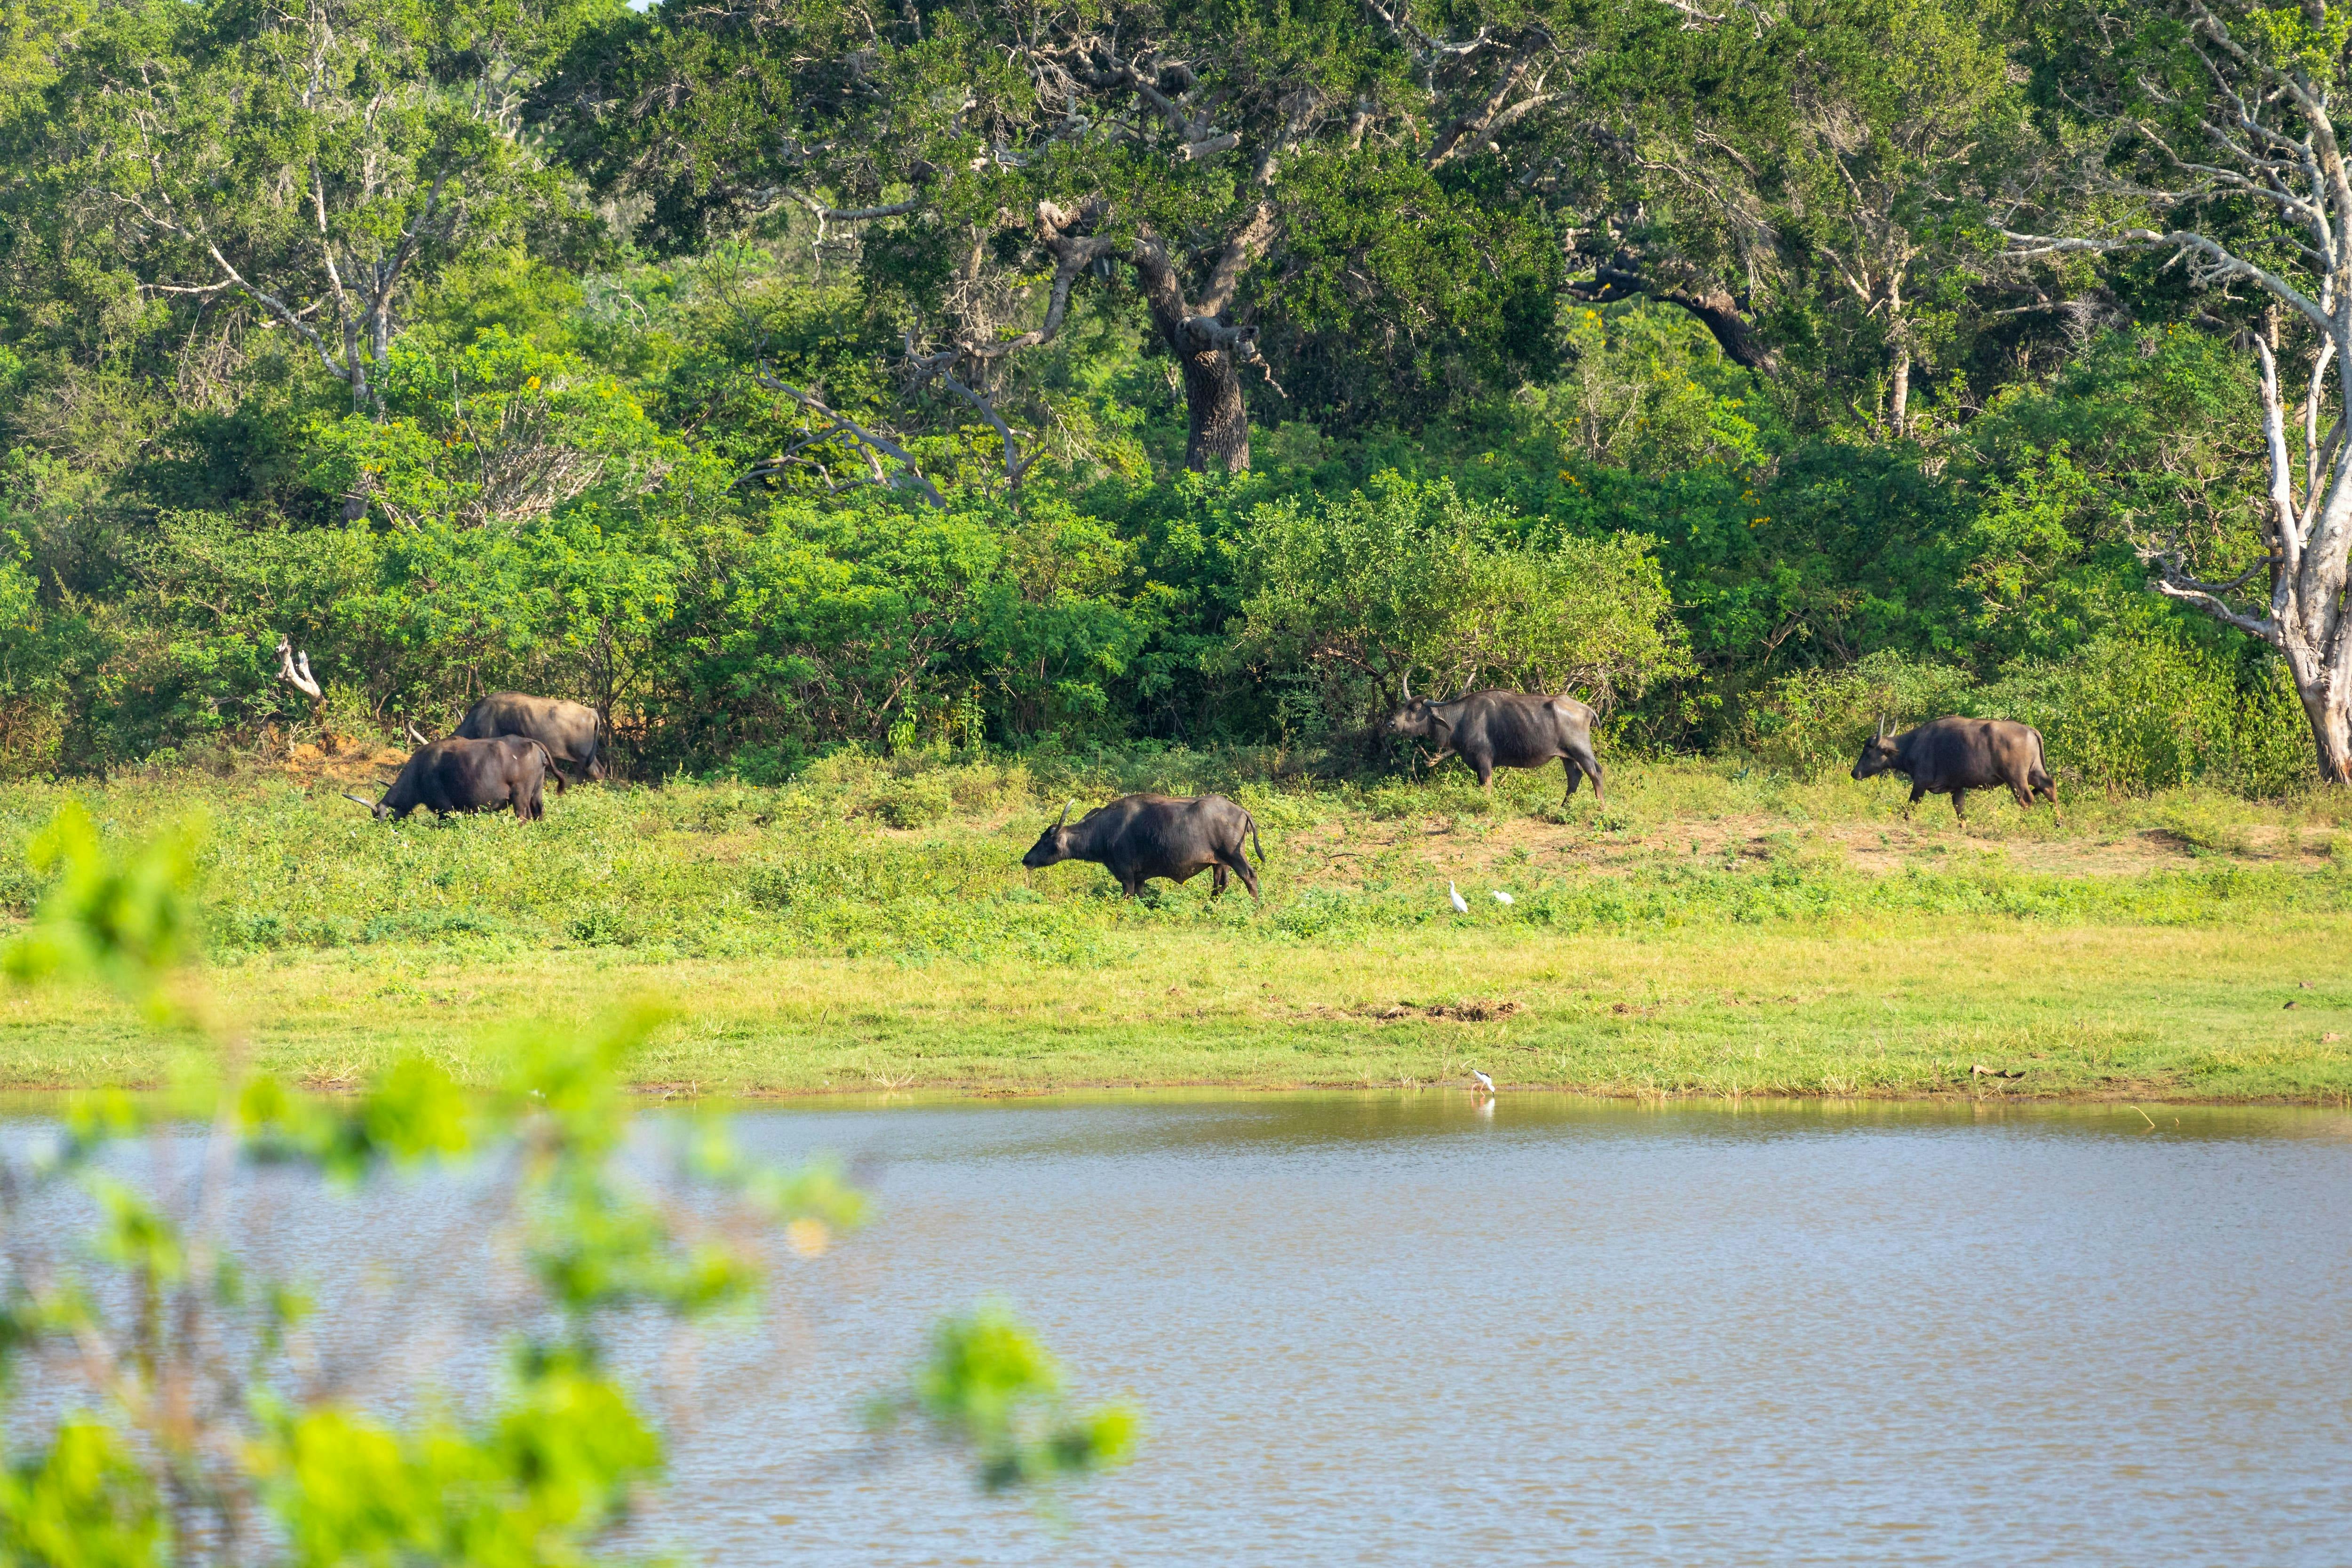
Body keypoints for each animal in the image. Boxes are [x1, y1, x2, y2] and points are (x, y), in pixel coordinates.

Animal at [343, 738, 564, 827]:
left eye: (379, 817)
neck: (419, 772)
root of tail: (530, 742)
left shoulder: (445, 808)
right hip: (536, 793)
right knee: (538, 813)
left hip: (521, 796)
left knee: (524, 817)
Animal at [1016, 799, 1261, 907]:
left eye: (1045, 840)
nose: (1026, 860)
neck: (1105, 831)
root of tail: (1242, 811)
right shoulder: (1141, 878)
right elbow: (1142, 898)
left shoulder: (1127, 876)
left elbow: (1128, 899)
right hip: (1220, 863)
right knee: (1220, 885)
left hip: (1235, 856)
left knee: (1250, 876)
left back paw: (1256, 908)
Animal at [1383, 677, 1609, 804]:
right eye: (1405, 706)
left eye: (1414, 709)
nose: (1391, 724)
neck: (1461, 718)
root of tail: (1587, 709)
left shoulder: (1484, 759)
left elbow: (1488, 786)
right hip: (1566, 755)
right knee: (1575, 776)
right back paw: (1564, 807)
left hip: (1581, 750)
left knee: (1595, 772)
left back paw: (1600, 807)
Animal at [1853, 719, 2060, 827]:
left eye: (1868, 751)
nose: (1855, 773)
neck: (1913, 745)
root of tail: (2030, 730)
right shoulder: (1957, 787)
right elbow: (1960, 810)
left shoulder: (1920, 783)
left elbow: (1911, 806)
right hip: (2034, 771)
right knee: (2049, 787)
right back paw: (2058, 822)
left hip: (2016, 779)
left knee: (2027, 799)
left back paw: (2025, 822)